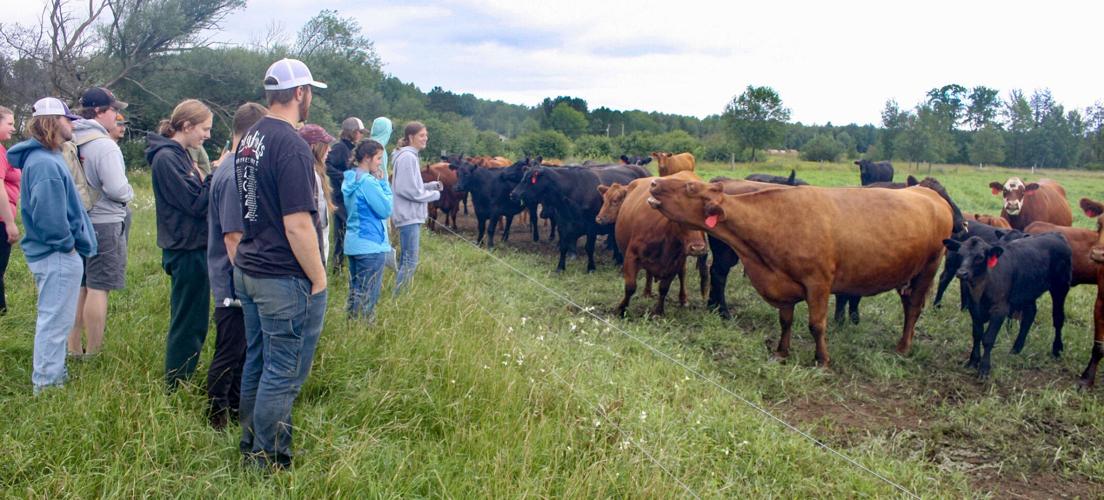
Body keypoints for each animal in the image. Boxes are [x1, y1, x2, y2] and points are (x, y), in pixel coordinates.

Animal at [511, 164, 649, 272]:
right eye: (522, 178)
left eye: (529, 180)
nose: (513, 194)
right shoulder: (563, 225)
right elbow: (563, 247)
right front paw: (560, 268)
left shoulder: (592, 226)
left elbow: (589, 248)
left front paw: (591, 268)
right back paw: (617, 259)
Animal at [596, 171, 708, 316]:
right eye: (604, 200)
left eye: (615, 201)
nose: (698, 248)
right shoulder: (631, 256)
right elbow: (630, 286)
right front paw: (621, 309)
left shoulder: (675, 263)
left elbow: (664, 288)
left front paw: (659, 312)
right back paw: (647, 292)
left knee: (682, 274)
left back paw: (683, 299)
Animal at [647, 178, 952, 367]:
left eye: (690, 187)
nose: (653, 182)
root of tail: (926, 192)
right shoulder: (782, 284)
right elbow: (786, 321)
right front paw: (781, 352)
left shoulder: (818, 283)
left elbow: (816, 324)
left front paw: (822, 360)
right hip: (908, 273)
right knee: (908, 304)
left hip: (929, 267)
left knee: (914, 308)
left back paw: (903, 347)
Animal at [942, 232, 1072, 379]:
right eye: (959, 254)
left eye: (980, 257)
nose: (961, 273)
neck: (983, 285)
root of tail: (1056, 235)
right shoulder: (974, 309)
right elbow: (977, 334)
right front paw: (973, 361)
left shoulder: (1000, 310)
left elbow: (988, 338)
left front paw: (984, 368)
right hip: (1027, 291)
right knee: (1029, 315)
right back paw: (1016, 349)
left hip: (1060, 287)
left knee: (1058, 318)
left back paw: (1057, 349)